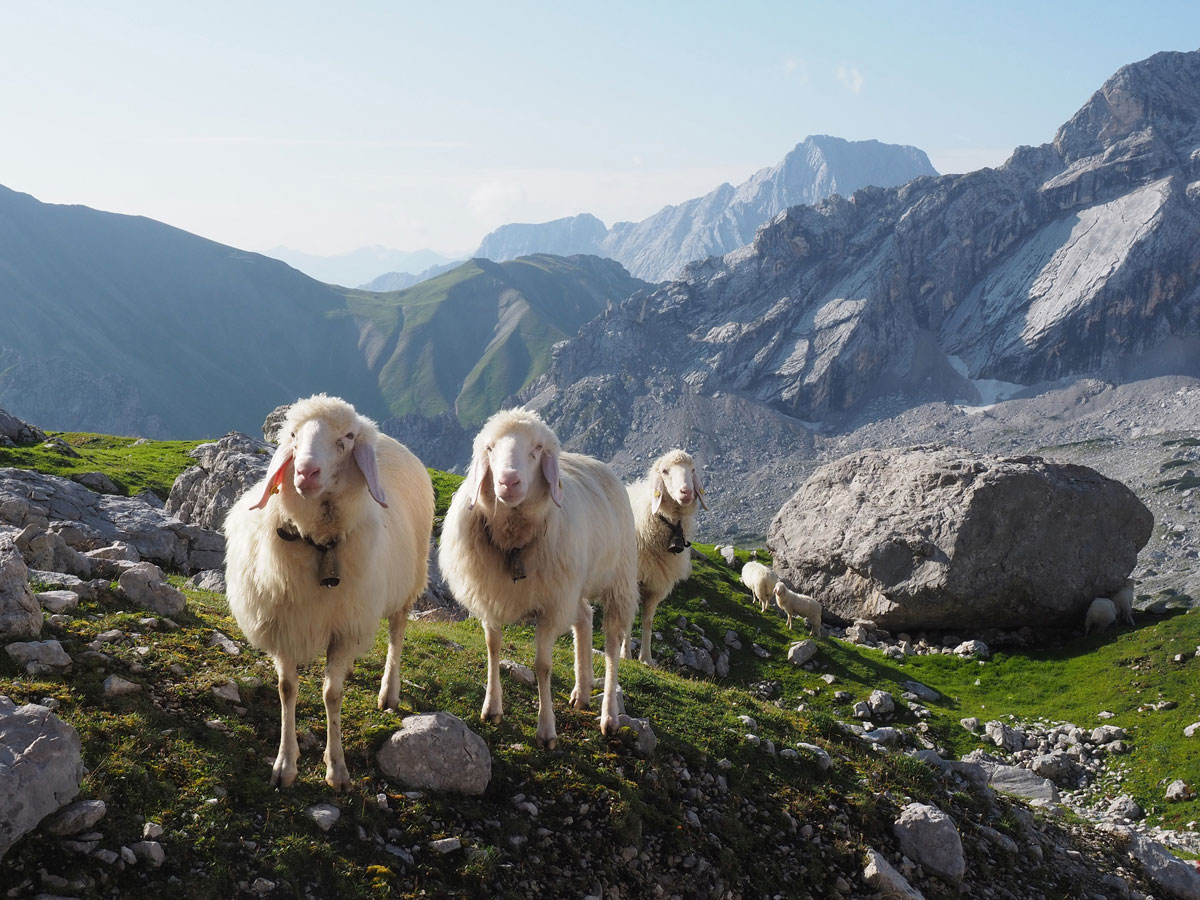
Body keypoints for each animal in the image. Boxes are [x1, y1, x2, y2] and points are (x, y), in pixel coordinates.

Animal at [223, 398, 434, 792]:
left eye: (347, 438)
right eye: (292, 435)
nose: (305, 472)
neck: (319, 543)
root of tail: (384, 437)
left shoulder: (345, 628)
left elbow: (332, 694)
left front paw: (336, 768)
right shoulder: (284, 625)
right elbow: (286, 688)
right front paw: (285, 764)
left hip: (406, 583)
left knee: (396, 633)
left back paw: (389, 692)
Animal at [439, 408, 638, 748]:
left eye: (535, 449)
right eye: (490, 448)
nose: (508, 481)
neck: (513, 542)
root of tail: (596, 462)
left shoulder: (550, 605)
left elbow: (542, 666)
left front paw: (546, 729)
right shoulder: (492, 594)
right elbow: (492, 648)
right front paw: (492, 708)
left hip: (618, 582)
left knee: (613, 646)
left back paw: (609, 716)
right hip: (573, 584)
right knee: (584, 617)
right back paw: (582, 691)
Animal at [624, 448, 705, 667]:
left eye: (692, 470)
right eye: (665, 471)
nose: (687, 492)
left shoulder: (656, 584)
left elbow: (648, 621)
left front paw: (646, 659)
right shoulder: (630, 581)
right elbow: (627, 618)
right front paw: (624, 655)